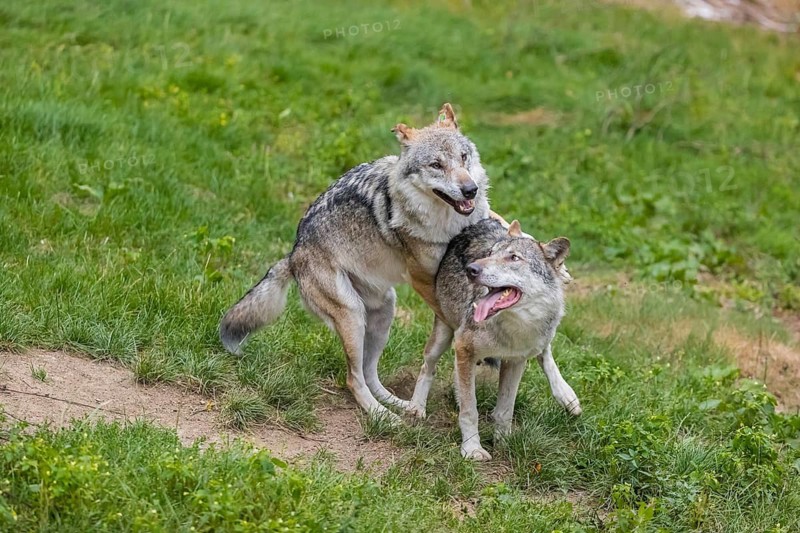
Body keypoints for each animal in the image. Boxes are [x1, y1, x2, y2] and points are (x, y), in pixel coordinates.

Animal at [220, 104, 501, 420]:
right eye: (436, 165)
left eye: (463, 157)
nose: (470, 190)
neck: (450, 225)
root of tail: (293, 254)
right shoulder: (422, 279)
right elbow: (451, 314)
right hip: (353, 316)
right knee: (353, 377)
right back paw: (384, 417)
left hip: (383, 313)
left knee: (368, 372)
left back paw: (396, 405)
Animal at [409, 218, 581, 460]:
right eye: (490, 253)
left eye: (514, 258)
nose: (471, 269)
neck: (514, 329)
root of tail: (479, 222)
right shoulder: (464, 348)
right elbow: (470, 410)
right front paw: (472, 448)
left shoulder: (516, 361)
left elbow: (505, 410)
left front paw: (504, 443)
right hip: (442, 337)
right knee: (428, 367)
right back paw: (416, 407)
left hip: (539, 338)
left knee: (545, 351)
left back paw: (567, 396)